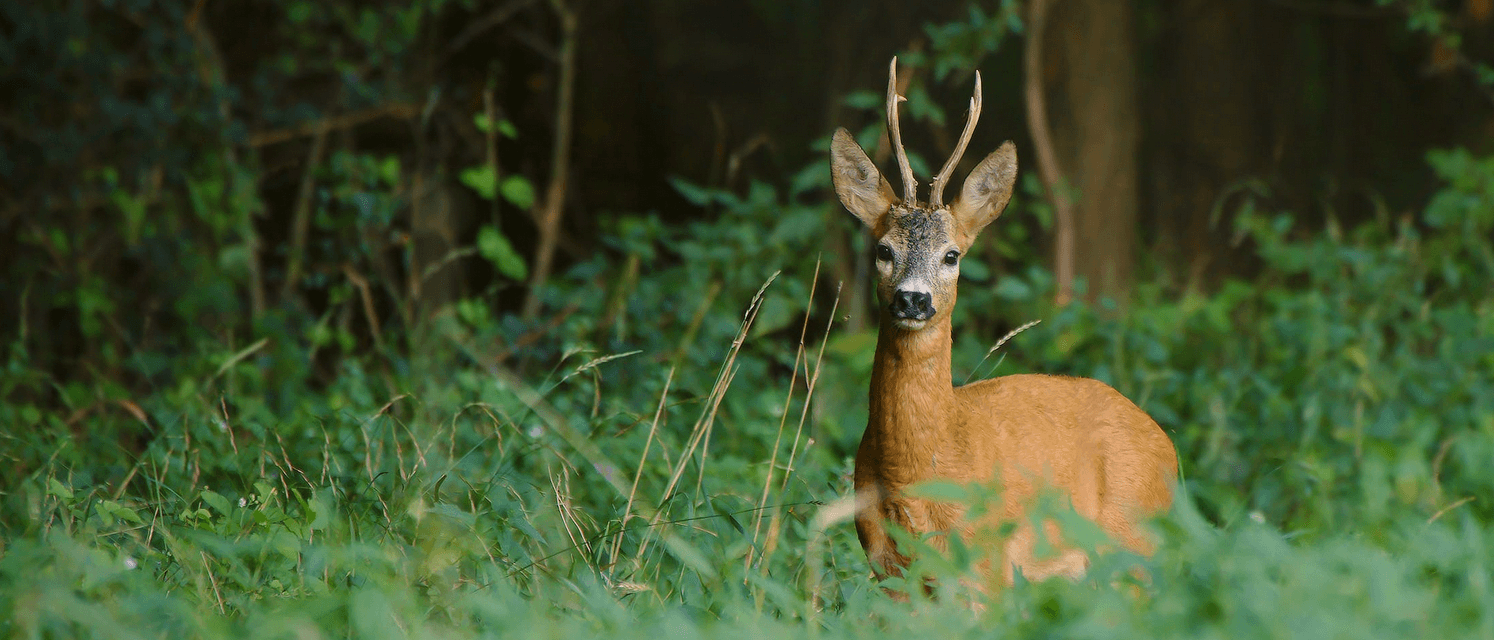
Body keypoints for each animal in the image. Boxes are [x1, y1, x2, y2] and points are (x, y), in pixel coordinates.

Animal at [836, 59, 1171, 586]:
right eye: (883, 251)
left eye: (952, 255)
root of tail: (1168, 448)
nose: (913, 299)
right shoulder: (886, 569)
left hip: (1134, 545)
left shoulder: (987, 565)